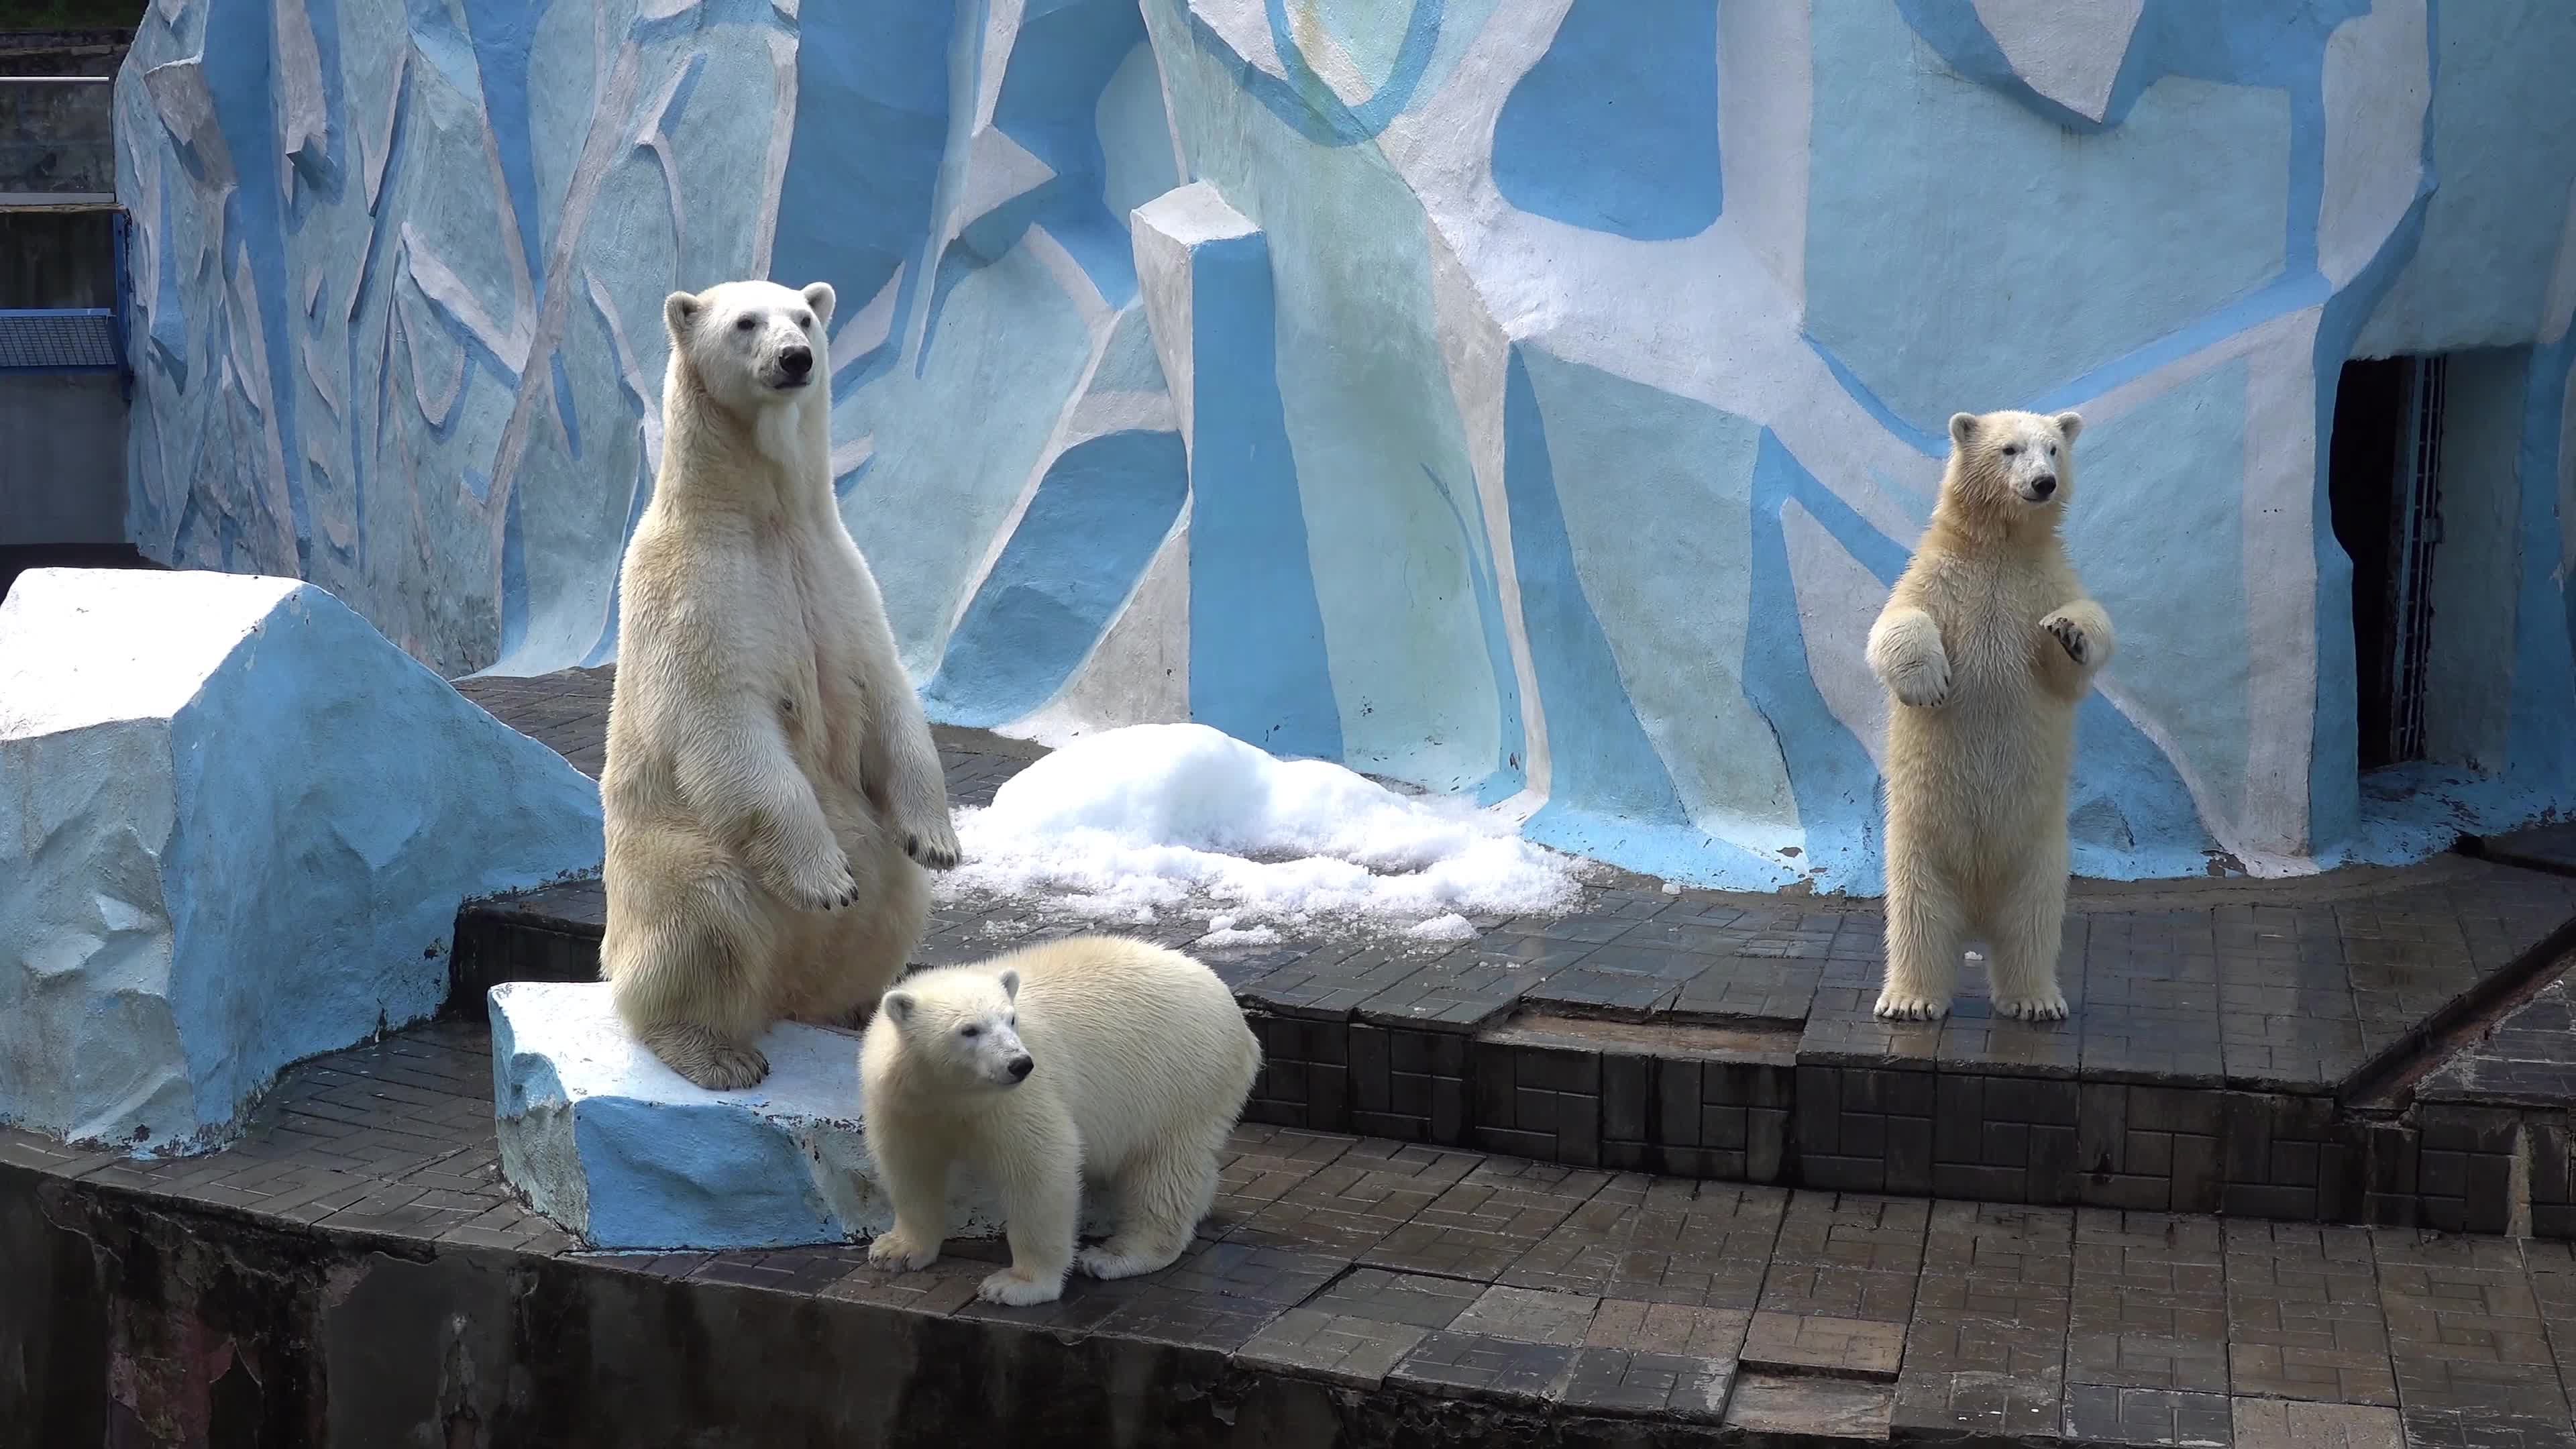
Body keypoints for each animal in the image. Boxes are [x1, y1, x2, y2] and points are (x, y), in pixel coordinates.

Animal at [597, 276, 963, 1083]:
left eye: (803, 317)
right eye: (745, 322)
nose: (796, 358)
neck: (762, 519)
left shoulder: (839, 576)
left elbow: (886, 694)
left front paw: (939, 839)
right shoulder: (699, 597)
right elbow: (725, 722)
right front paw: (826, 880)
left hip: (874, 880)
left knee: (897, 902)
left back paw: (863, 1006)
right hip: (670, 870)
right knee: (706, 920)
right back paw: (715, 1051)